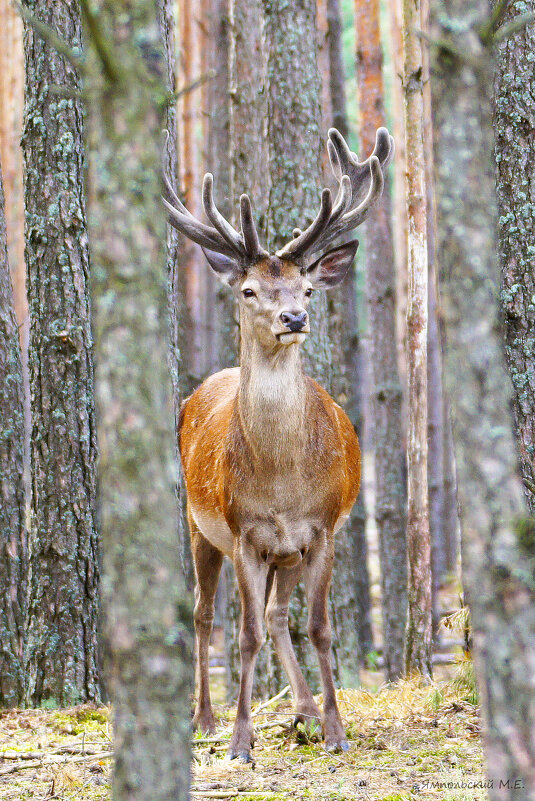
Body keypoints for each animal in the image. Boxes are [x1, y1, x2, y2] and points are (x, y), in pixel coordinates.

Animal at [165, 128, 396, 760]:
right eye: (249, 290)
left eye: (307, 287)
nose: (293, 317)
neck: (282, 483)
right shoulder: (245, 531)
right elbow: (242, 635)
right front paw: (241, 741)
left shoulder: (321, 530)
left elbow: (317, 627)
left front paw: (336, 730)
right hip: (200, 525)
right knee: (204, 614)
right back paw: (204, 718)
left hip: (288, 553)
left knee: (275, 613)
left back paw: (304, 709)